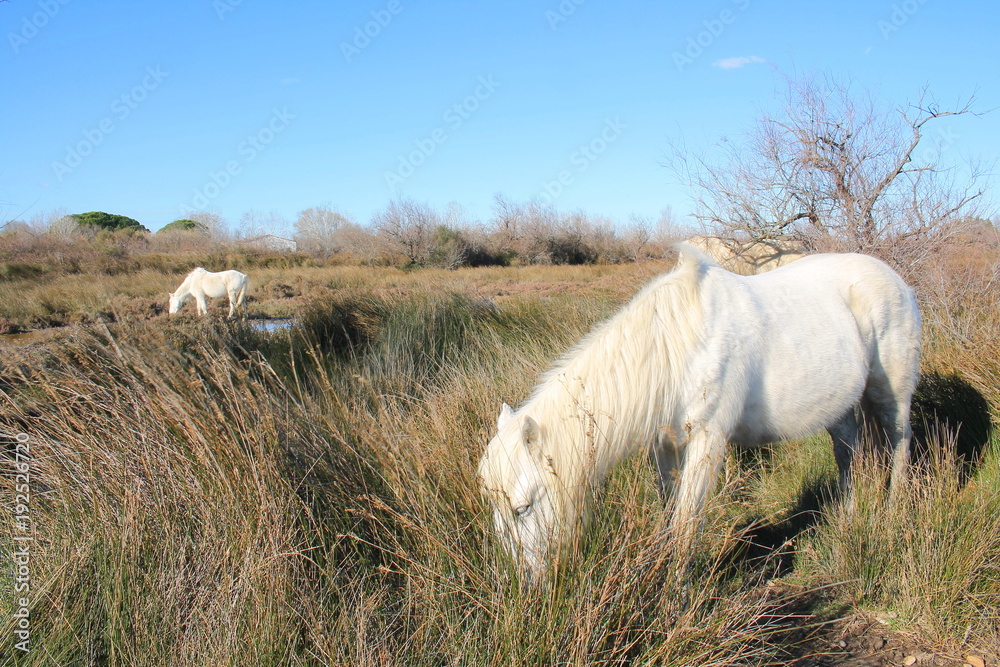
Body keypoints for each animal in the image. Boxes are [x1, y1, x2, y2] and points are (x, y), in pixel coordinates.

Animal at [478, 243, 921, 579]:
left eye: (522, 509)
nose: (524, 584)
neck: (675, 348)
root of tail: (894, 278)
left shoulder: (708, 441)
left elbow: (687, 523)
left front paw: (676, 595)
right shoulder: (664, 446)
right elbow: (669, 513)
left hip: (892, 393)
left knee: (899, 444)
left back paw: (892, 516)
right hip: (840, 406)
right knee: (849, 453)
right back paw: (847, 517)